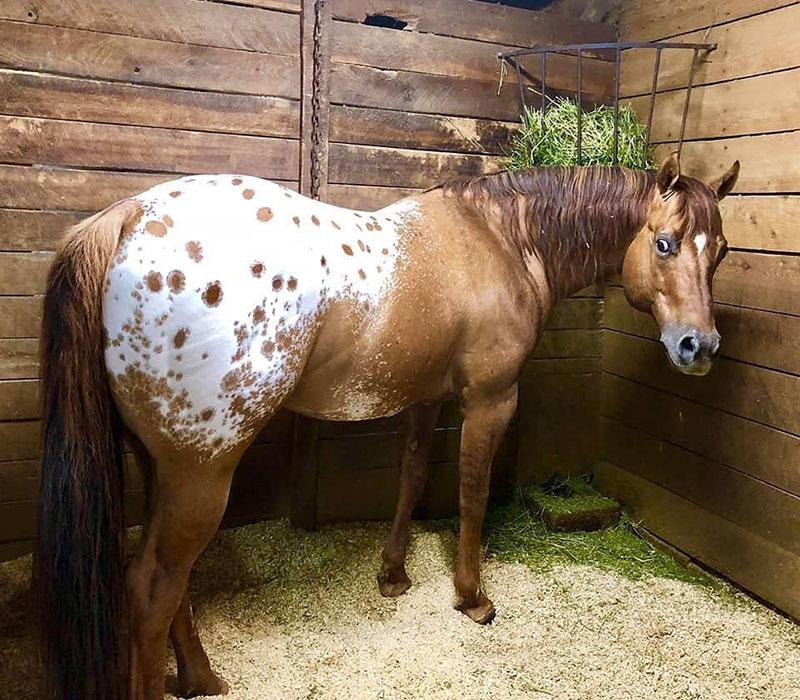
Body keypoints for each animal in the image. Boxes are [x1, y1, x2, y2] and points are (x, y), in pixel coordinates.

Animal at [36, 154, 736, 700]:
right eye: (666, 243)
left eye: (722, 251)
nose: (698, 346)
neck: (503, 241)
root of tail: (128, 215)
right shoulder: (489, 401)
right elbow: (472, 494)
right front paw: (471, 598)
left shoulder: (426, 400)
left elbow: (412, 476)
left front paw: (394, 575)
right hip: (202, 472)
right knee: (152, 588)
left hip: (167, 466)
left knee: (171, 582)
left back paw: (204, 679)